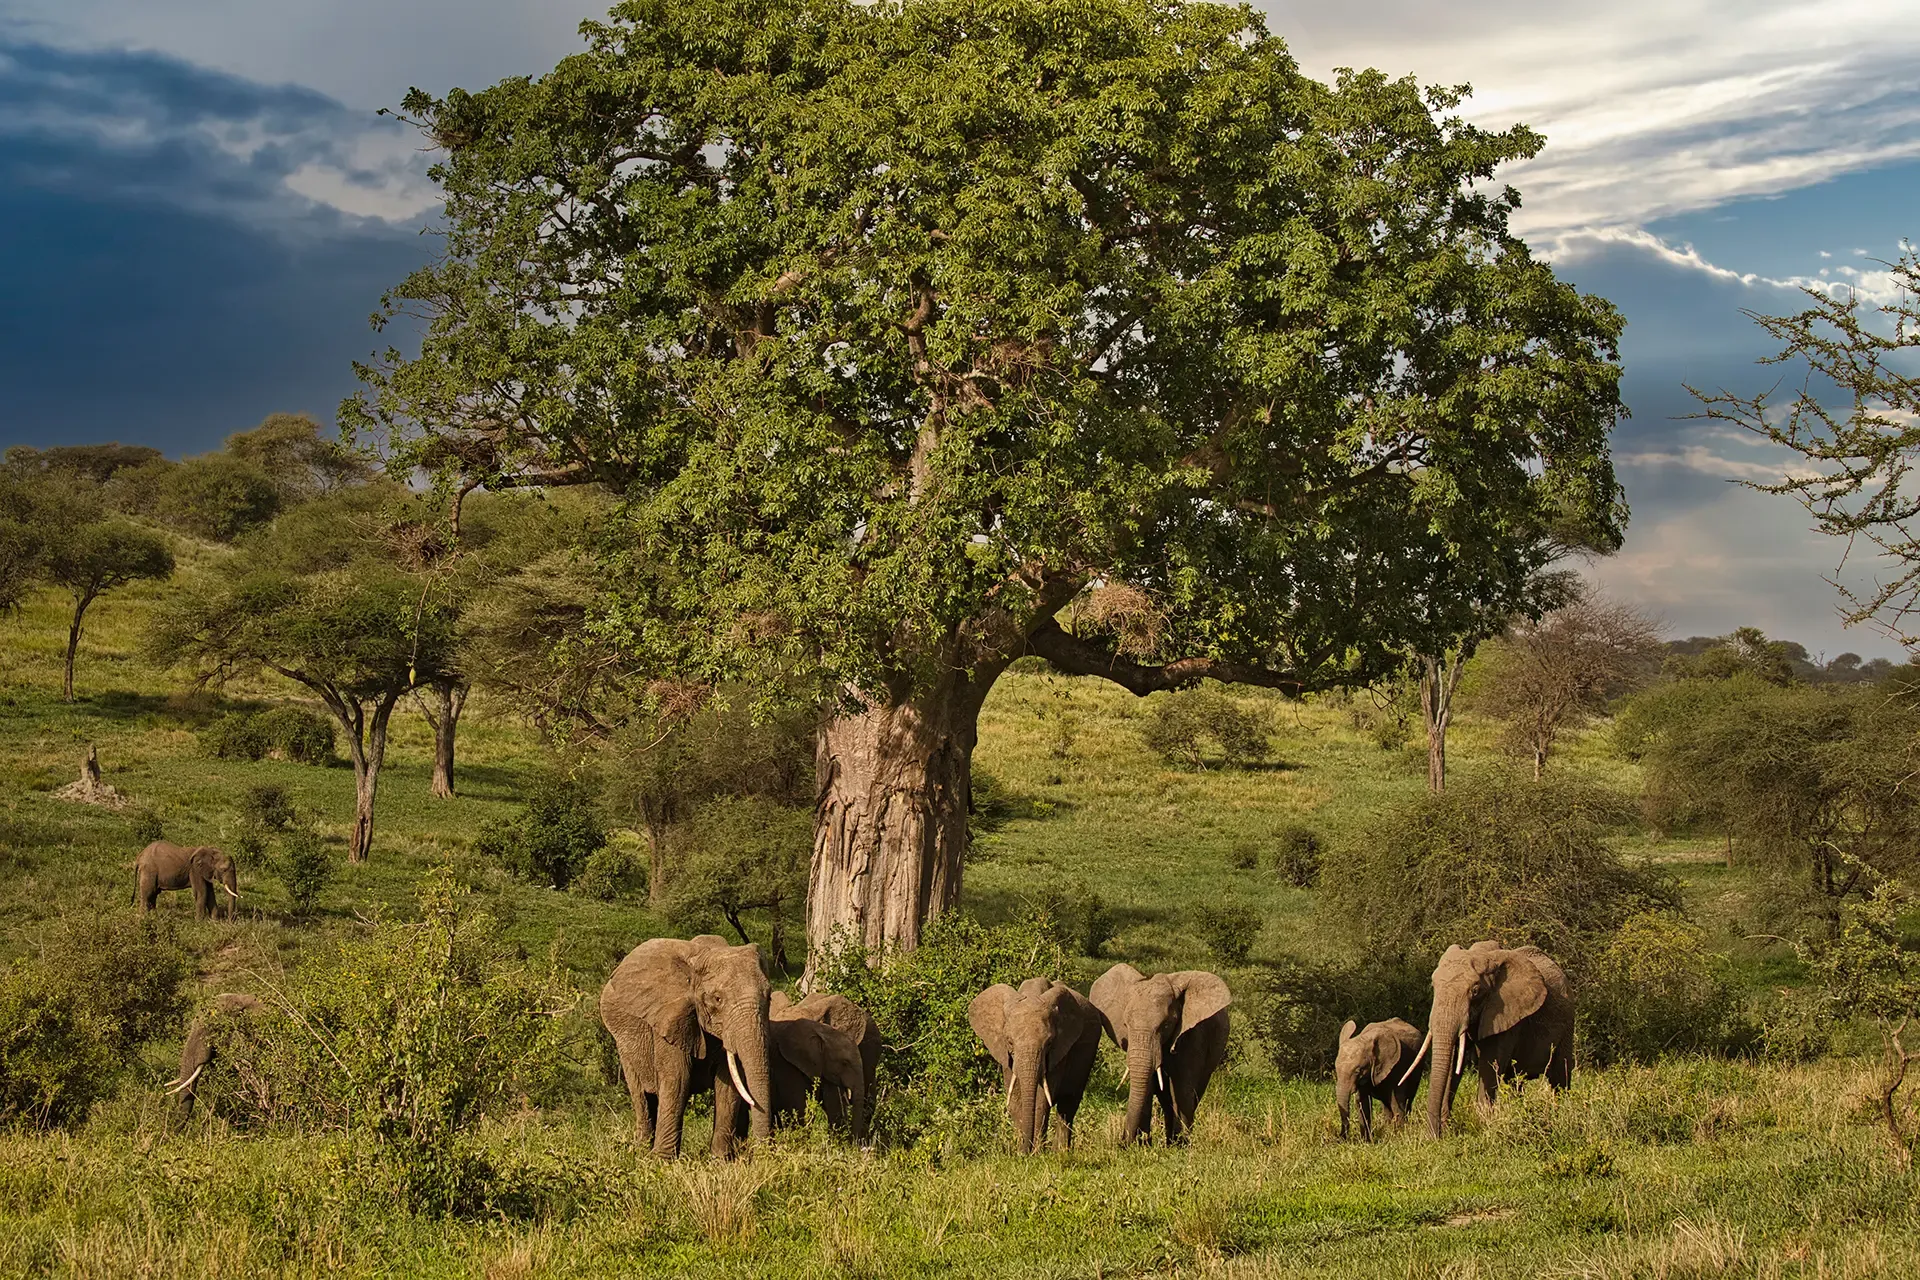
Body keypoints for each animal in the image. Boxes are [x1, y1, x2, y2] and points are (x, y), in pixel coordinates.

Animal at [600, 934, 776, 1160]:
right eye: (717, 999)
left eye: (769, 996)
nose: (759, 1154)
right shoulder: (668, 1019)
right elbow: (678, 1079)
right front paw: (662, 1161)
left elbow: (728, 1085)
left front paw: (720, 1161)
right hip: (622, 1040)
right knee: (642, 1096)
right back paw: (640, 1152)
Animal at [968, 977, 1104, 1153]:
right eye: (1009, 1041)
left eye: (1049, 1042)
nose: (1025, 1151)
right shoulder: (1007, 1055)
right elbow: (1015, 1097)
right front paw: (1021, 1151)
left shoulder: (1059, 1050)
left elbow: (1042, 1098)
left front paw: (1037, 1153)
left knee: (1068, 1104)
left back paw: (1060, 1152)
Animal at [1087, 963, 1230, 1145]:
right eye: (1126, 1025)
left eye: (1166, 1025)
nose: (1122, 1142)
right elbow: (1148, 1086)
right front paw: (1142, 1144)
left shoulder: (1193, 1036)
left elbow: (1183, 1086)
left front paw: (1181, 1145)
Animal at [1401, 940, 1574, 1137]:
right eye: (1433, 986)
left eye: (1475, 991)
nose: (1433, 1137)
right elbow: (1453, 1061)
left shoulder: (1505, 1013)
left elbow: (1490, 1064)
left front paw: (1483, 1127)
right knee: (1515, 1080)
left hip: (1568, 1024)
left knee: (1560, 1076)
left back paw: (1560, 1117)